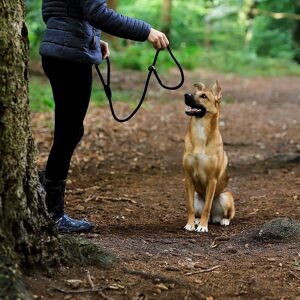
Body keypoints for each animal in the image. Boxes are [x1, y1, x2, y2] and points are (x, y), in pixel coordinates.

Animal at [182, 80, 236, 232]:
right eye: (194, 93)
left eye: (204, 96)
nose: (186, 95)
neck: (200, 131)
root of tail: (213, 217)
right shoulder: (188, 178)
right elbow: (190, 207)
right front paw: (190, 224)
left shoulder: (212, 180)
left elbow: (207, 206)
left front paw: (203, 227)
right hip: (195, 195)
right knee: (198, 210)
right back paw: (197, 220)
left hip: (225, 196)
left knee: (226, 214)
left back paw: (222, 220)